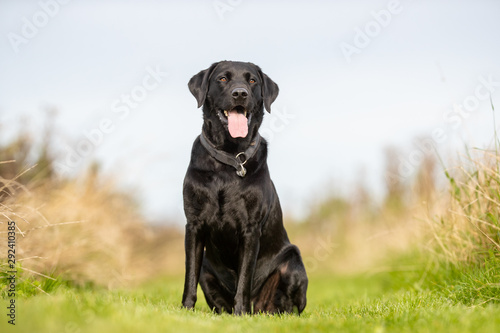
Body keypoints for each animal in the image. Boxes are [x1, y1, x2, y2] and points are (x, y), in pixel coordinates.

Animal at [182, 60, 306, 314]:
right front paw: (185, 311)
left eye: (252, 80)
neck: (229, 158)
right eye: (222, 78)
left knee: (288, 307)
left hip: (294, 260)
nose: (240, 93)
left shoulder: (250, 229)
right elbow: (189, 275)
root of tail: (261, 308)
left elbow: (244, 277)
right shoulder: (194, 225)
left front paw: (241, 313)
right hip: (207, 267)